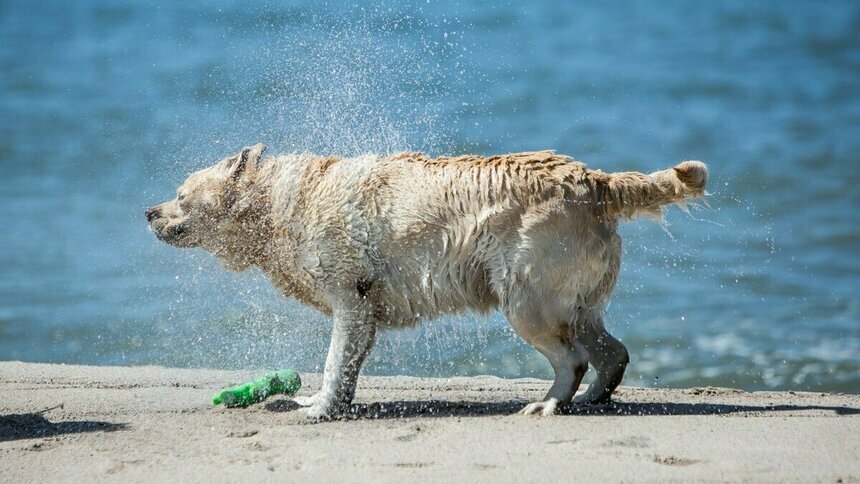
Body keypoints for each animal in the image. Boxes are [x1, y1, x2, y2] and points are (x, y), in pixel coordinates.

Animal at [148, 145, 708, 420]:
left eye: (181, 194)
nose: (149, 212)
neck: (276, 206)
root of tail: (596, 181)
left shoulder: (349, 294)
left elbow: (332, 360)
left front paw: (318, 409)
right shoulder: (364, 310)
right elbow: (347, 364)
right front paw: (327, 403)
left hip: (525, 294)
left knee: (571, 355)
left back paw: (550, 402)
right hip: (573, 295)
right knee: (609, 348)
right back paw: (593, 397)